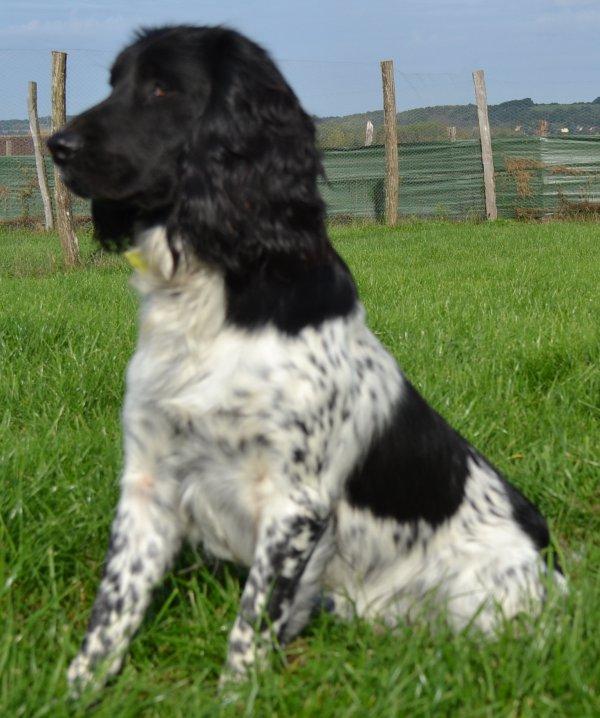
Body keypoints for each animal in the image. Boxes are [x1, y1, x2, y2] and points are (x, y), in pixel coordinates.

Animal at [48, 25, 568, 696]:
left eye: (162, 87)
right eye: (114, 82)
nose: (56, 144)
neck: (216, 294)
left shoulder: (294, 504)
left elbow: (250, 623)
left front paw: (235, 698)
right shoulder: (148, 481)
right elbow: (112, 609)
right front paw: (75, 693)